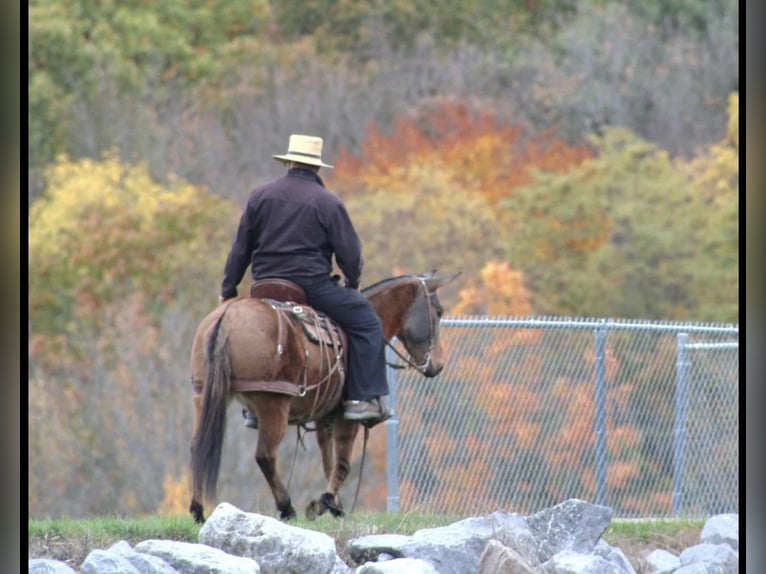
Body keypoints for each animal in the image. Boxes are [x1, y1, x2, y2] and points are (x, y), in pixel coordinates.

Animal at [188, 270, 460, 523]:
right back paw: (287, 507)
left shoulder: (323, 416)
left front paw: (335, 506)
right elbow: (342, 464)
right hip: (273, 403)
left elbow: (328, 460)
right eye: (438, 311)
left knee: (198, 447)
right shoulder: (345, 415)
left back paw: (197, 510)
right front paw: (324, 503)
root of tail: (226, 317)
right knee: (265, 456)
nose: (438, 365)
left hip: (204, 397)